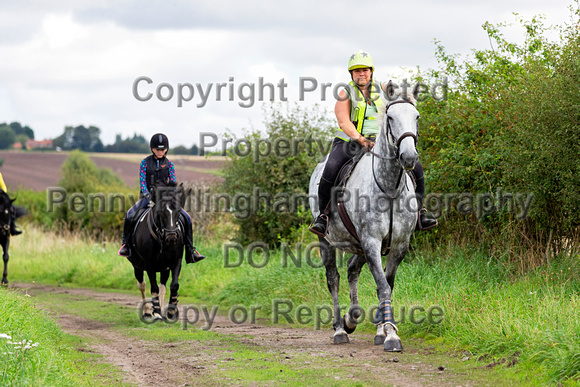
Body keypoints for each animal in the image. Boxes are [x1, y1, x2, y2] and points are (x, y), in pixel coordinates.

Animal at [310, 93, 420, 352]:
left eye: (417, 117)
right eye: (390, 118)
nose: (409, 157)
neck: (390, 188)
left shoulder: (398, 245)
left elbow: (387, 284)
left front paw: (384, 330)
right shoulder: (371, 241)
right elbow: (382, 285)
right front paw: (392, 336)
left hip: (358, 244)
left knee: (352, 269)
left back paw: (354, 320)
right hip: (327, 240)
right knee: (333, 279)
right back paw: (340, 329)